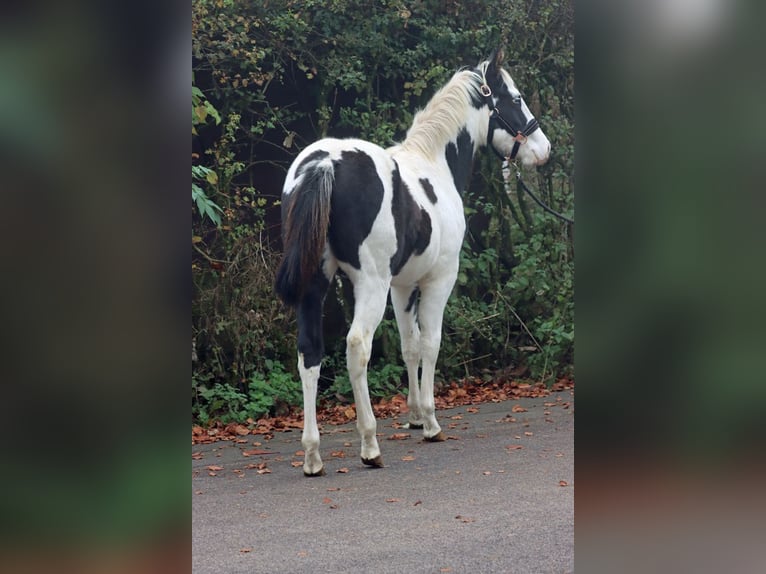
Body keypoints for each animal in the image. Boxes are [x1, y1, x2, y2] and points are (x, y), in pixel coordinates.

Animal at [276, 47, 552, 476]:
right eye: (516, 97)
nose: (544, 150)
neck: (433, 163)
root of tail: (324, 164)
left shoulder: (403, 286)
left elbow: (409, 345)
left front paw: (414, 416)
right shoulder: (439, 279)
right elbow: (430, 343)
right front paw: (431, 421)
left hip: (315, 286)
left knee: (310, 353)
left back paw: (312, 455)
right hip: (369, 285)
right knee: (357, 347)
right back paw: (369, 445)